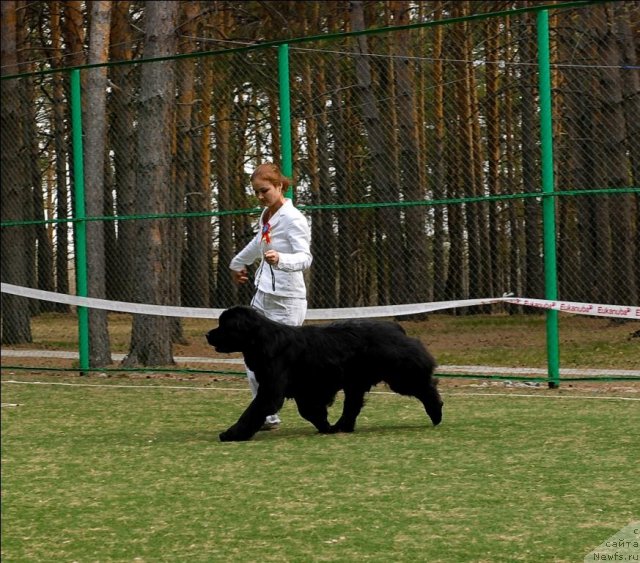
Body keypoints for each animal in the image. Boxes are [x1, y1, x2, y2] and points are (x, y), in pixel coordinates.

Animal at [208, 306, 442, 442]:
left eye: (224, 325)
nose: (208, 334)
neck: (262, 340)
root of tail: (396, 328)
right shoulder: (303, 391)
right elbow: (310, 411)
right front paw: (326, 426)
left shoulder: (271, 391)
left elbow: (252, 412)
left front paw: (232, 434)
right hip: (356, 382)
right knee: (352, 406)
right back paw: (341, 427)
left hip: (400, 374)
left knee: (426, 388)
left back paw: (436, 413)